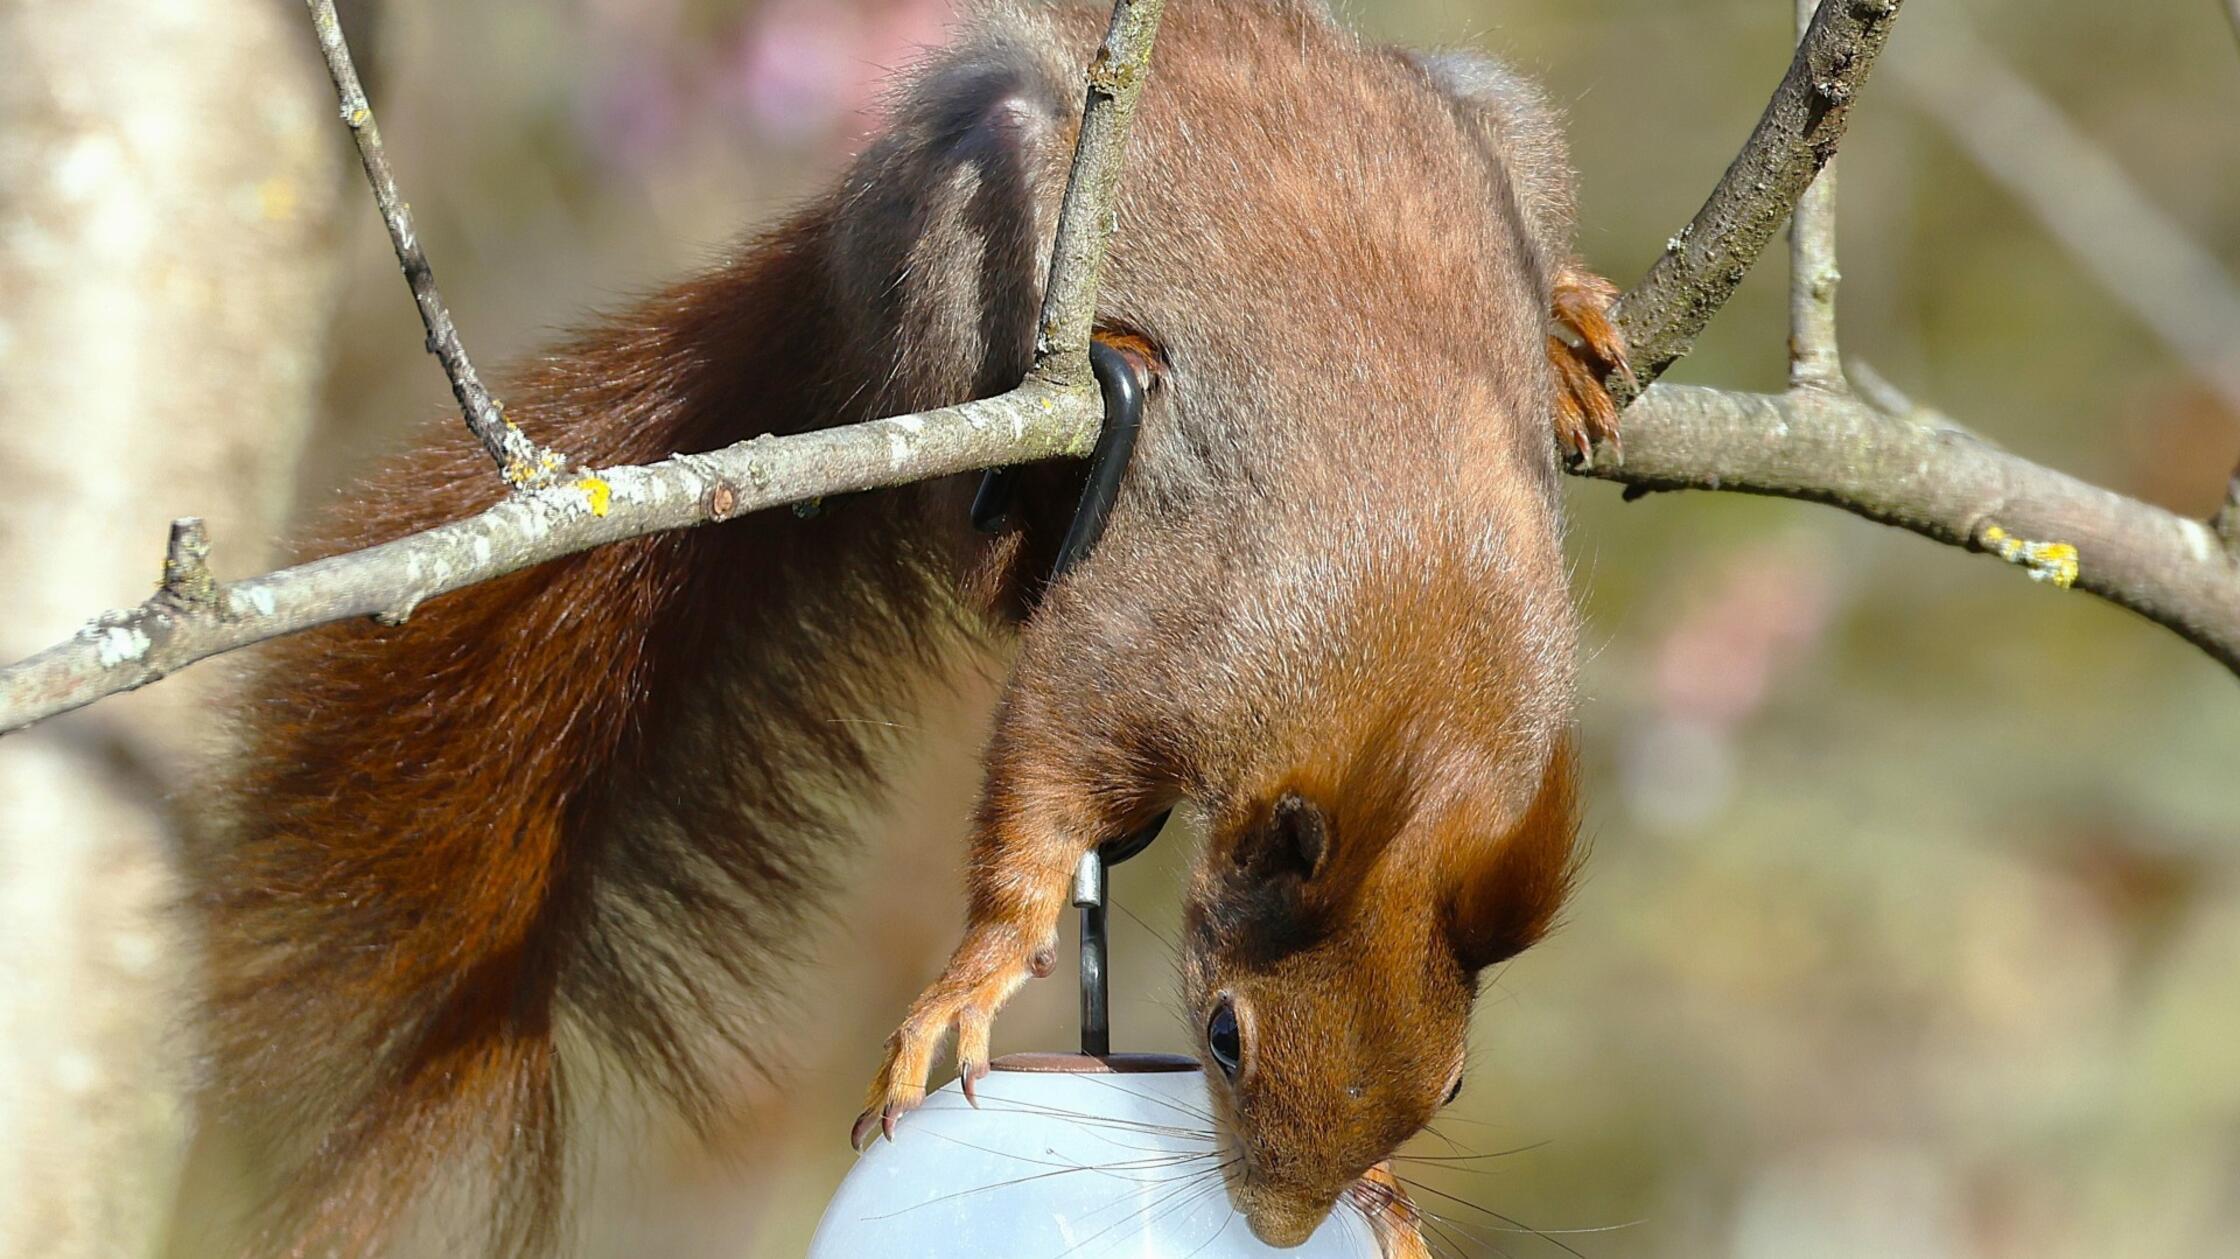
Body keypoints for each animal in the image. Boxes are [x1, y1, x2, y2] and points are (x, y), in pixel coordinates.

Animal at [187, 1, 1626, 1254]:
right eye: (1221, 1035)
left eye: (1448, 1082)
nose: (1278, 1219)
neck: (1416, 709)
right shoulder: (1160, 631)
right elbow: (1043, 778)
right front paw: (979, 968)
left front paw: (1382, 1191)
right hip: (963, 207)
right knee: (979, 497)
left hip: (1490, 118)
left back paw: (1564, 323)